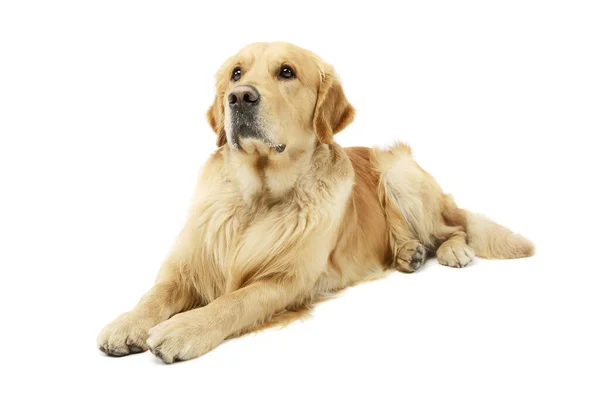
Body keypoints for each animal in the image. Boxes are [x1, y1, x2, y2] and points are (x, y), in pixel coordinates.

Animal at [98, 42, 536, 364]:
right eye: (236, 74)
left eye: (286, 72)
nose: (239, 97)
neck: (257, 199)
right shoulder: (188, 264)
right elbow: (156, 293)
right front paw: (127, 323)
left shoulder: (288, 280)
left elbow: (234, 301)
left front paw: (183, 329)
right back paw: (408, 252)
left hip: (400, 175)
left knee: (455, 225)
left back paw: (452, 250)